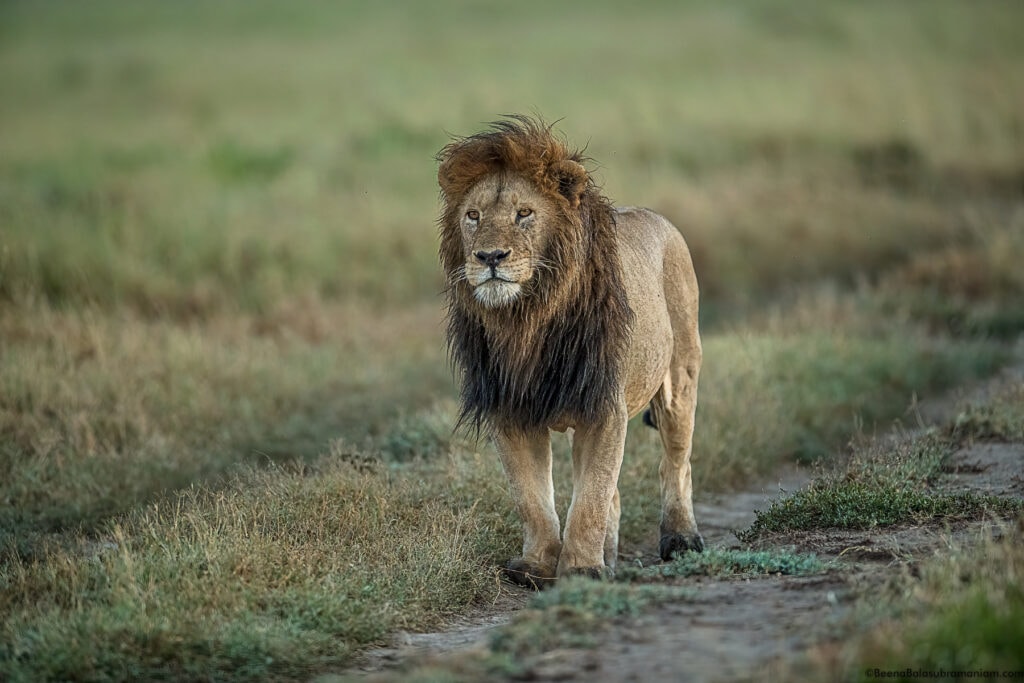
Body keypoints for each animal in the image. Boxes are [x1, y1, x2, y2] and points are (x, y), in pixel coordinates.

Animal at [432, 117, 704, 589]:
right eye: (473, 216)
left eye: (524, 213)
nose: (489, 256)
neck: (526, 320)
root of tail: (659, 219)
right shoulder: (511, 411)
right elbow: (532, 499)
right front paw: (536, 567)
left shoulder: (604, 408)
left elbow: (590, 497)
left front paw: (579, 568)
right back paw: (609, 558)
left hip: (679, 379)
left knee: (676, 462)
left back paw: (680, 539)